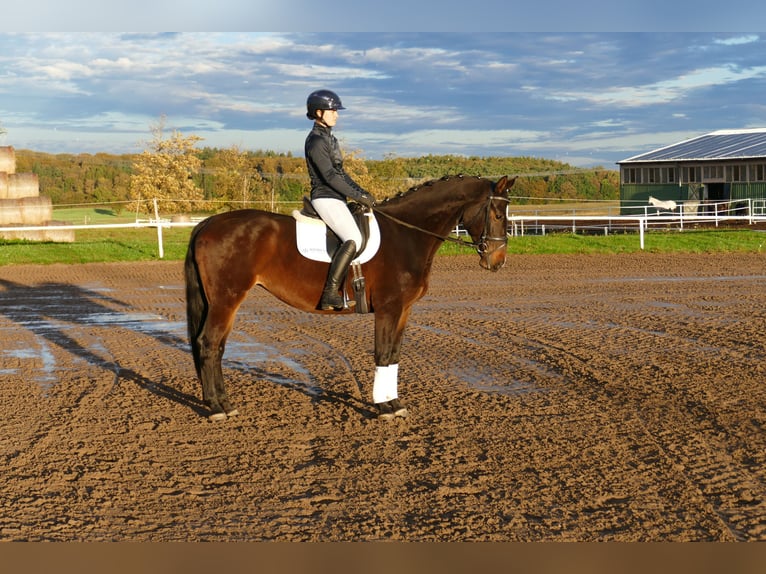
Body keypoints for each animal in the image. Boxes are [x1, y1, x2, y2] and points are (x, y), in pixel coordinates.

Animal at [184, 174, 515, 421]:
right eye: (498, 214)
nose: (497, 262)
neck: (406, 235)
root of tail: (208, 223)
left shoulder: (404, 310)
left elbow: (394, 355)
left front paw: (395, 404)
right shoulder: (388, 308)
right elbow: (382, 354)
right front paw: (383, 408)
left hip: (223, 301)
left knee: (217, 346)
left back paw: (223, 403)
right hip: (226, 299)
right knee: (209, 344)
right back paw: (217, 408)